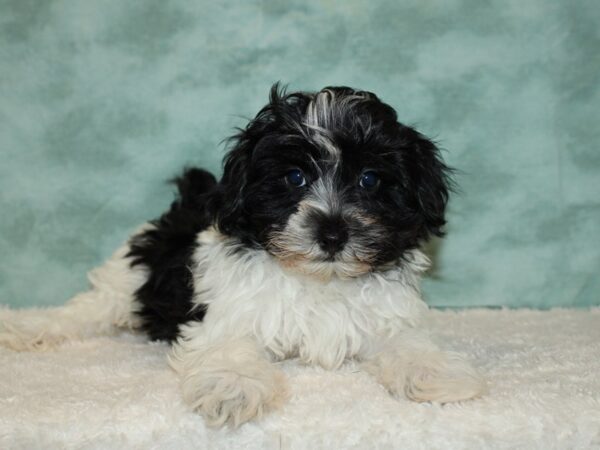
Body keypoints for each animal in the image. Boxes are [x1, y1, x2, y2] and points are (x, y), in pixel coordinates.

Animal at [0, 85, 486, 428]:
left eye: (369, 180)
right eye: (294, 177)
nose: (332, 232)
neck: (318, 280)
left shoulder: (386, 314)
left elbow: (408, 341)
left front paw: (434, 374)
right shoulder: (228, 313)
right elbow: (229, 347)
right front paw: (231, 390)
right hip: (128, 273)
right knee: (85, 309)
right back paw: (27, 328)